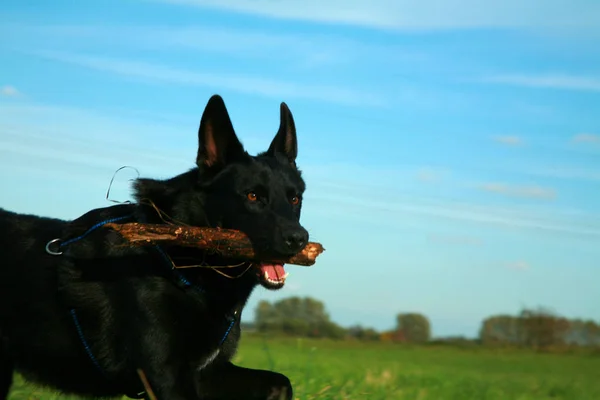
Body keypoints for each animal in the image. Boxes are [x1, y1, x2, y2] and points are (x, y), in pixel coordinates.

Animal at [0, 95, 310, 398]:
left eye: (295, 199)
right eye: (253, 196)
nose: (299, 239)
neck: (179, 264)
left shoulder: (208, 373)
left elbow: (282, 382)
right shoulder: (167, 377)